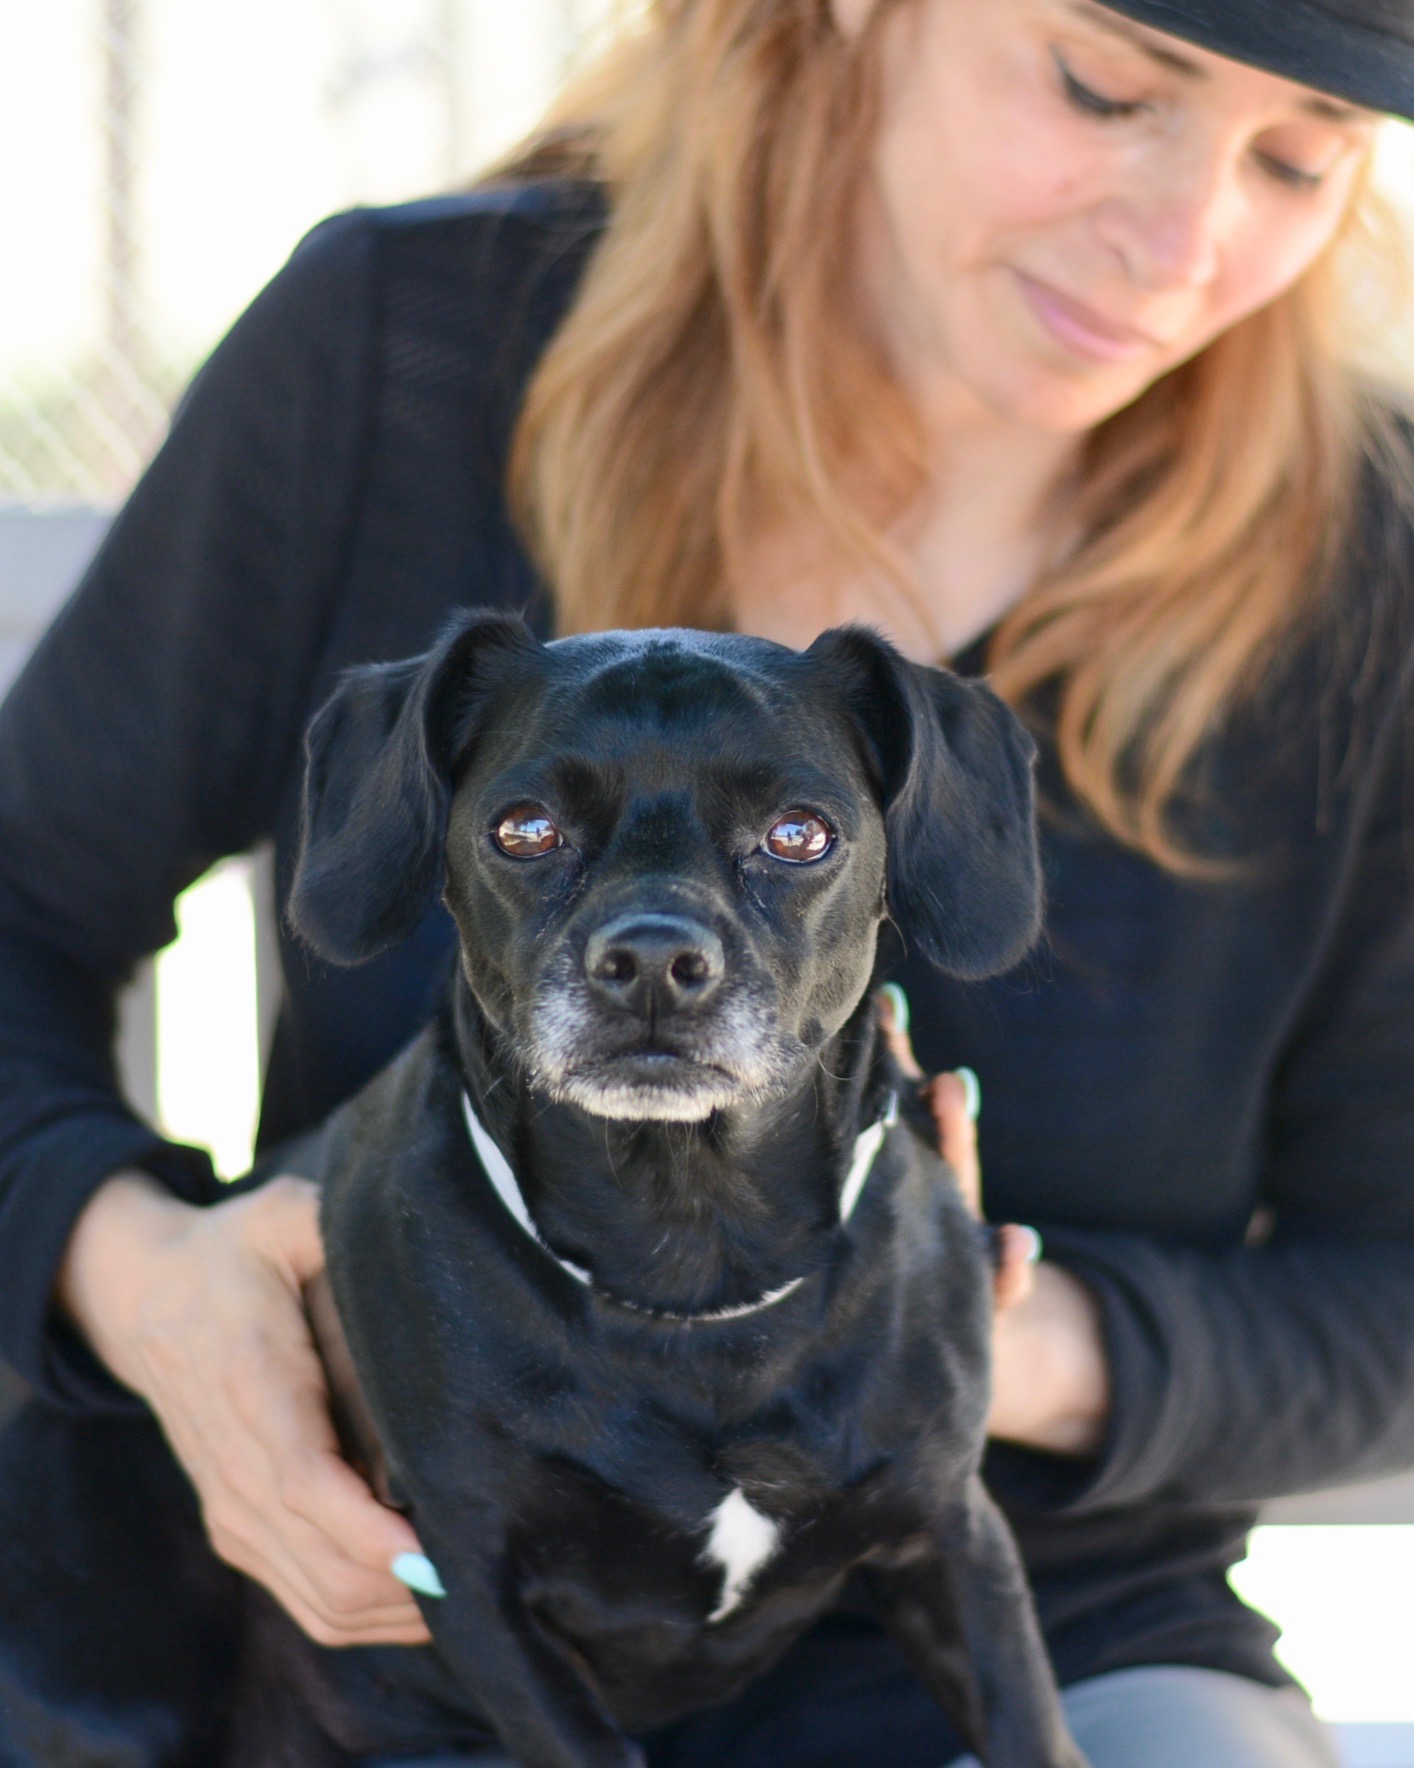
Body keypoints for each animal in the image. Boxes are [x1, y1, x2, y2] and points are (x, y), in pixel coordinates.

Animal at [0, 618, 1081, 1768]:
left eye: (799, 834)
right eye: (525, 830)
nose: (651, 957)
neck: (693, 1263)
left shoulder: (953, 1538)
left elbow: (1032, 1729)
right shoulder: (476, 1588)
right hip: (113, 1691)